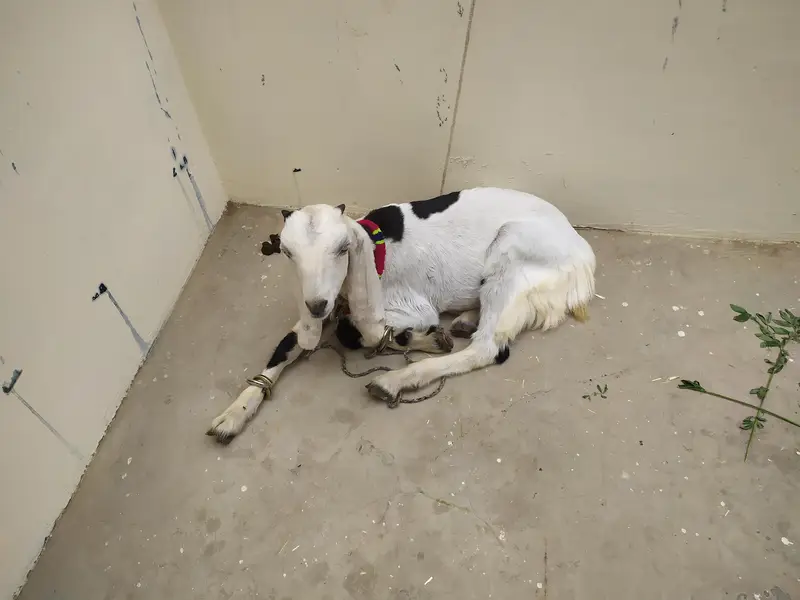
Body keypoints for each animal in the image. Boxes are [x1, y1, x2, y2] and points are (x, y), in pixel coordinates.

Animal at [207, 187, 596, 443]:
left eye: (343, 249)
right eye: (287, 252)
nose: (317, 305)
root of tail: (583, 256)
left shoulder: (411, 306)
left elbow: (355, 331)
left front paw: (417, 338)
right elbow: (286, 346)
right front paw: (233, 414)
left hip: (511, 255)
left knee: (488, 348)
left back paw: (396, 379)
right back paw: (465, 318)